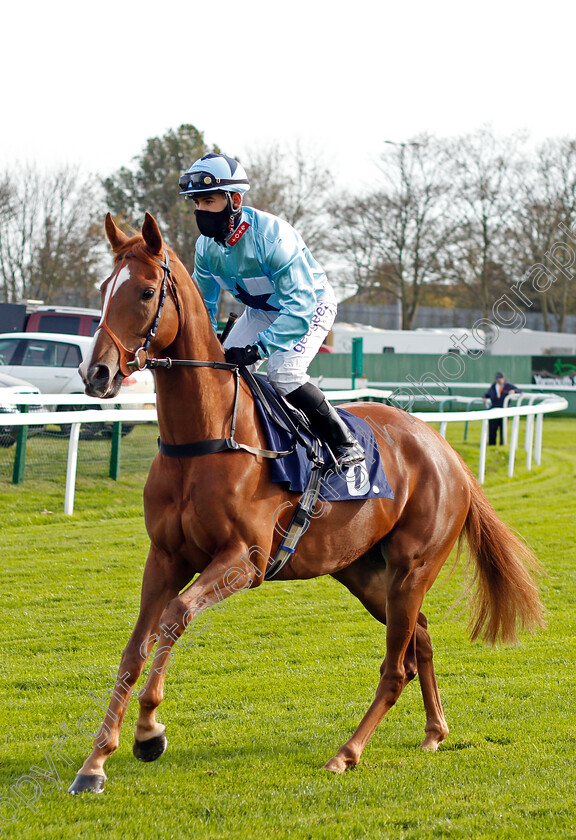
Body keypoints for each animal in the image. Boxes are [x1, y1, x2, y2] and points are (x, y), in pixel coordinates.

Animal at [70, 212, 544, 796]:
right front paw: (95, 763)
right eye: (103, 289)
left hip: (413, 568)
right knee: (422, 639)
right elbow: (134, 648)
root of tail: (444, 450)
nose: (97, 374)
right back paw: (434, 731)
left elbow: (176, 616)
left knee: (396, 667)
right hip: (366, 573)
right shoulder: (164, 557)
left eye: (145, 291)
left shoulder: (244, 561)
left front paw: (149, 731)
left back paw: (347, 753)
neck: (206, 438)